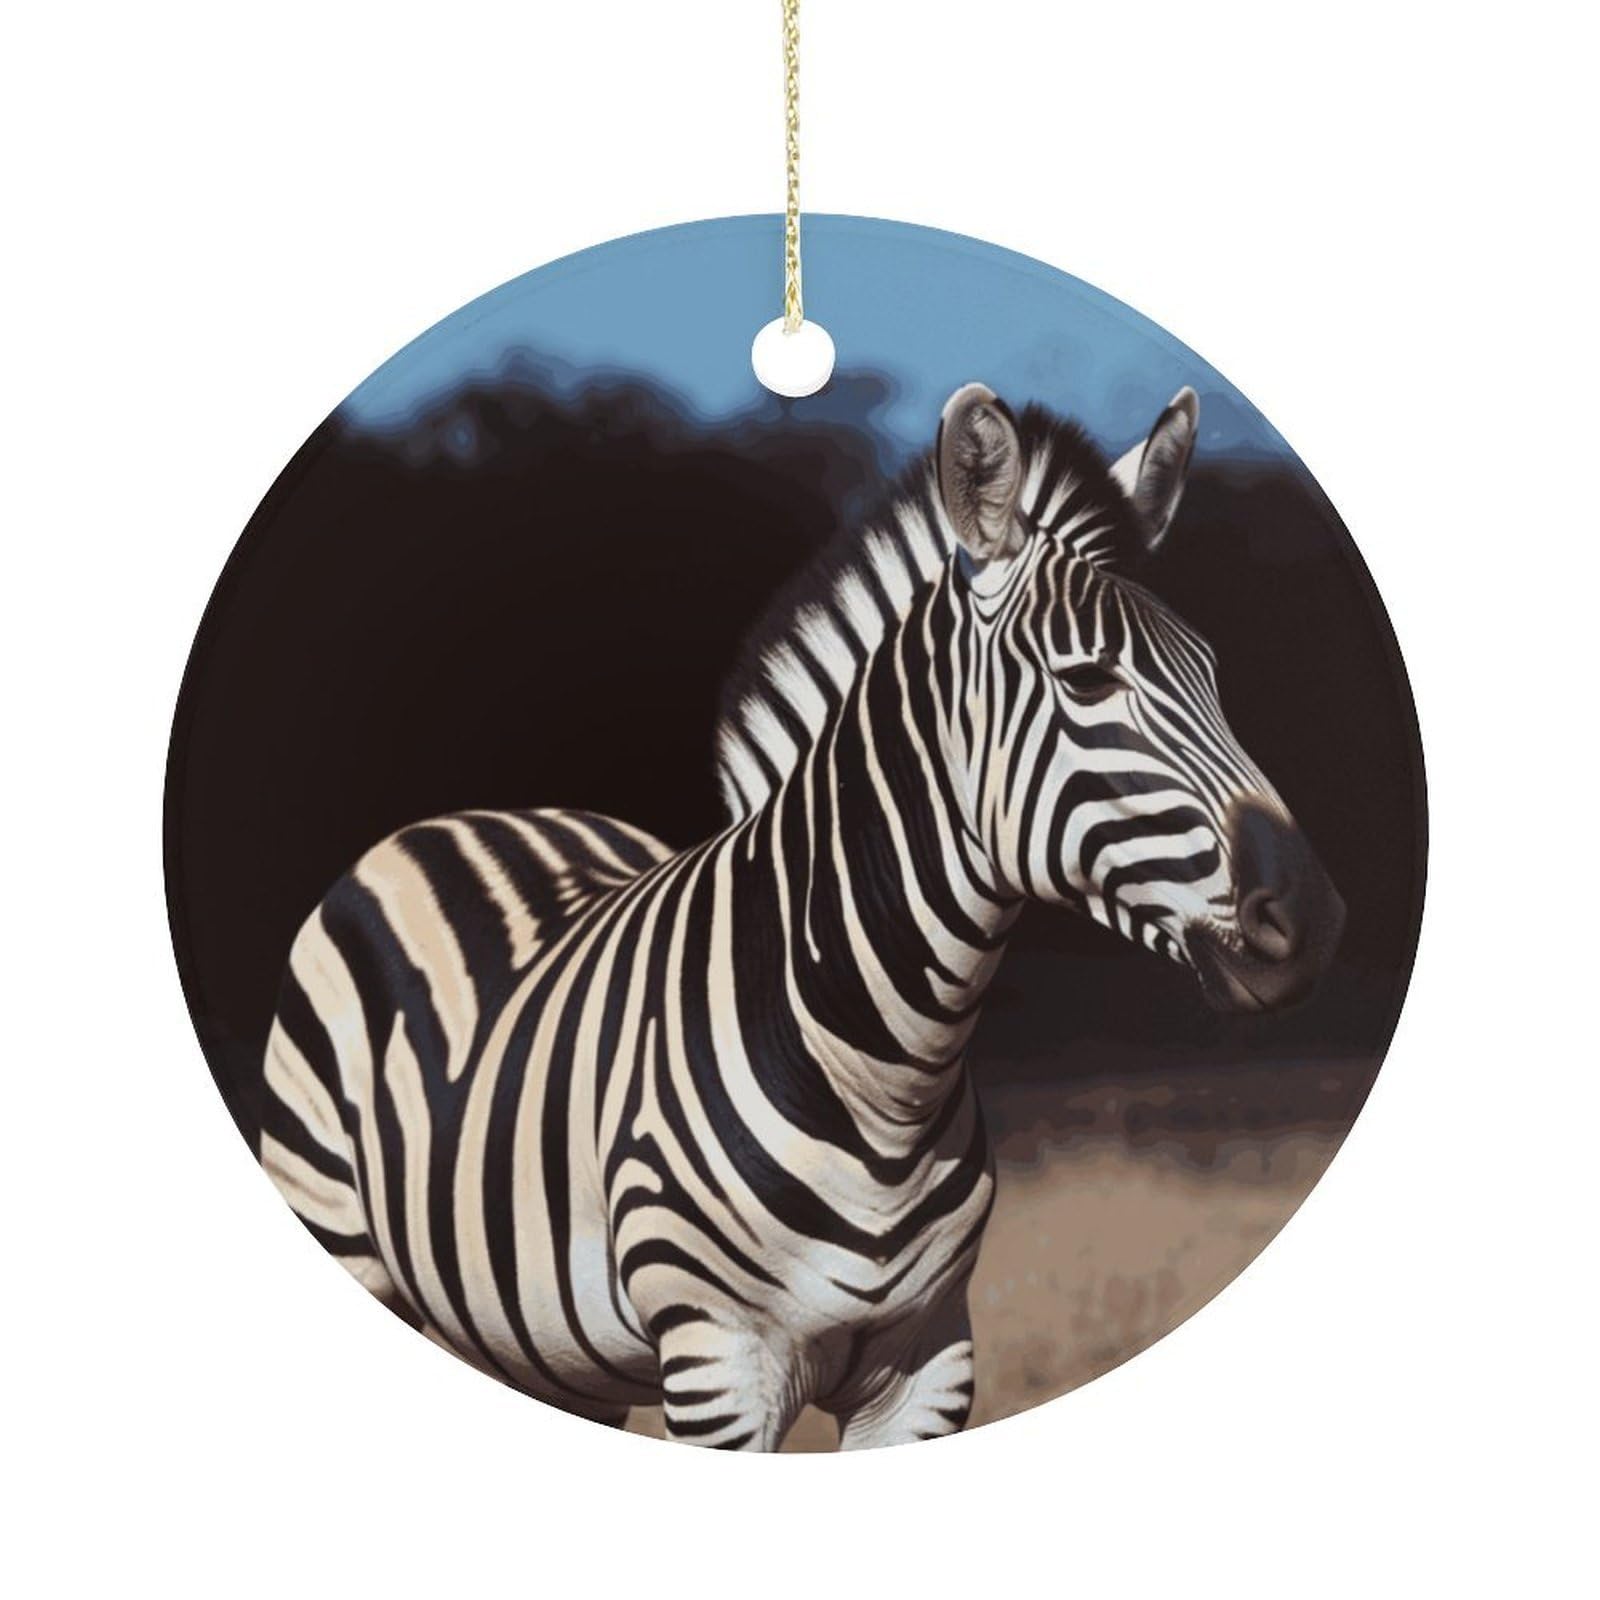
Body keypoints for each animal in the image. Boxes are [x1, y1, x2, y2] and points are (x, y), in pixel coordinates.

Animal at [259, 381, 1345, 1450]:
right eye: (1087, 679)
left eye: (1211, 673)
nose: (1315, 919)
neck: (882, 1074)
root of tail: (477, 815)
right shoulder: (719, 1364)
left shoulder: (928, 1363)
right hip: (342, 1235)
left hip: (556, 1355)